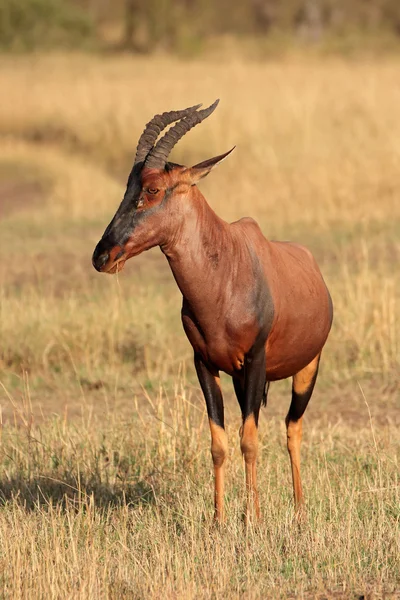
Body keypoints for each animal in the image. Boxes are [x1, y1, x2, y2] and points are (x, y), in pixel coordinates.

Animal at [92, 101, 332, 524]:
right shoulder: (204, 363)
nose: (102, 256)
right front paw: (219, 520)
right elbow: (218, 442)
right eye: (127, 188)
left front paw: (252, 520)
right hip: (239, 377)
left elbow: (249, 440)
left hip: (307, 367)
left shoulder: (255, 361)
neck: (226, 271)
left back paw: (300, 510)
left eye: (153, 189)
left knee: (293, 429)